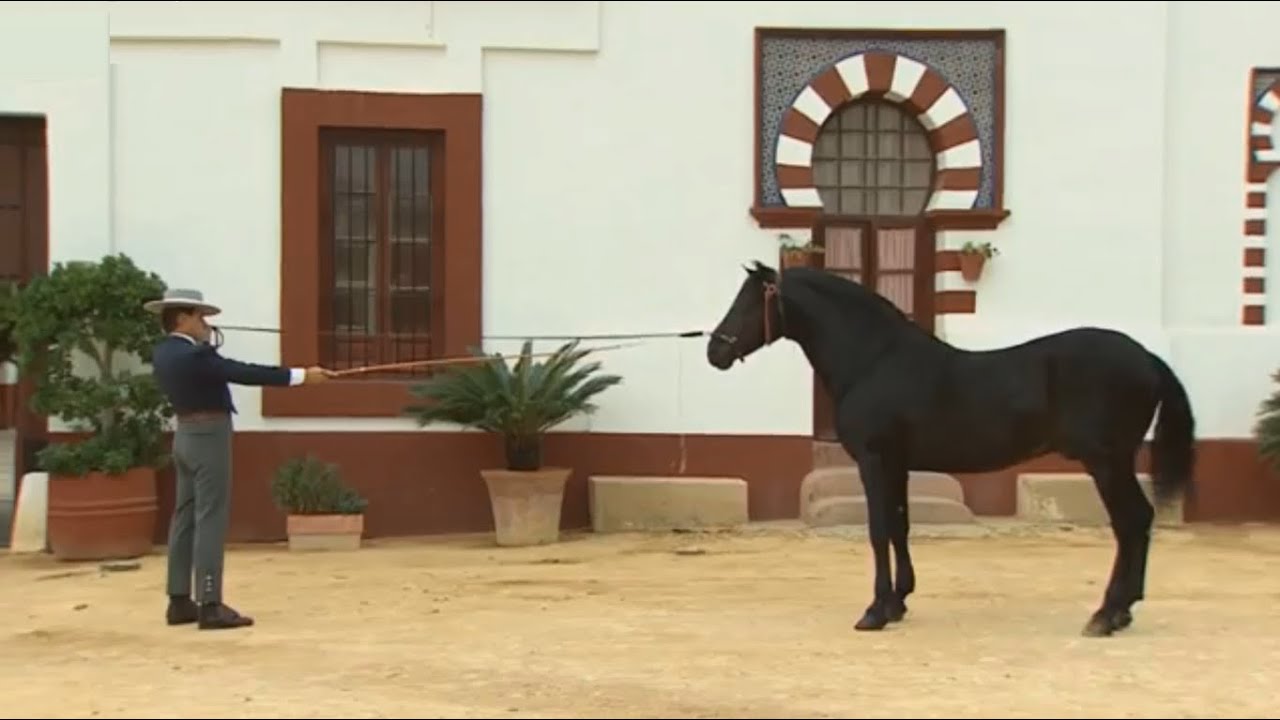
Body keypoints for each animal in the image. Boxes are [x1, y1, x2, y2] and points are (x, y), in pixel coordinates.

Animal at [705, 261, 1196, 637]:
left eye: (750, 302)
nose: (715, 351)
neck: (875, 360)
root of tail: (1148, 357)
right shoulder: (898, 465)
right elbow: (899, 527)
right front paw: (898, 603)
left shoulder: (874, 461)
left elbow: (878, 530)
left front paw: (874, 612)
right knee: (1139, 521)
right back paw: (1123, 610)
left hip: (1106, 462)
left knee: (1130, 522)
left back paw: (1106, 614)